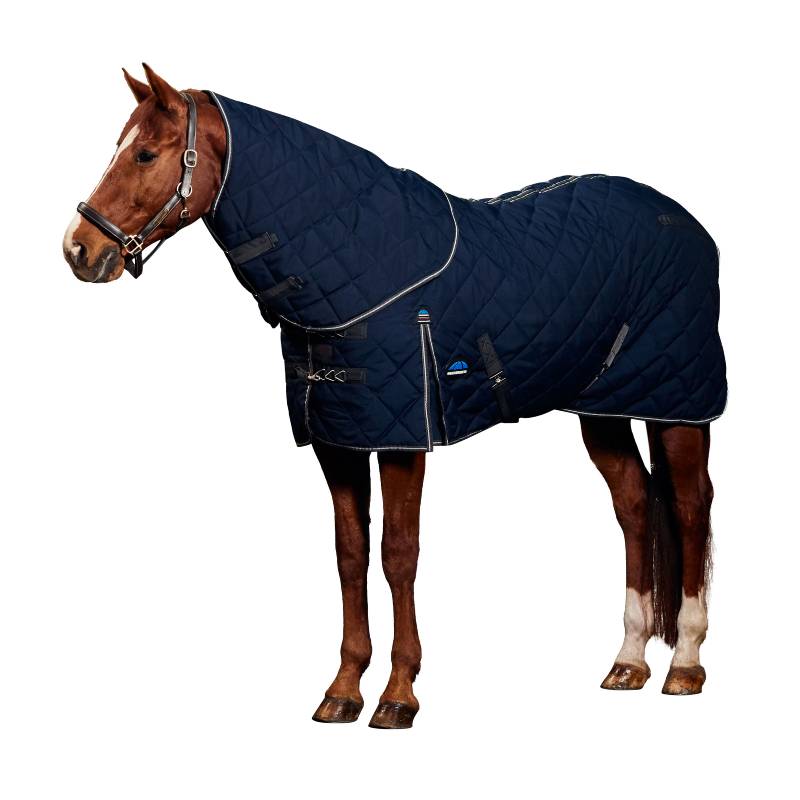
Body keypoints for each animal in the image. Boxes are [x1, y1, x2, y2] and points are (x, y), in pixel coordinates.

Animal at [63, 65, 722, 728]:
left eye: (146, 153)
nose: (78, 250)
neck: (364, 267)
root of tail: (687, 222)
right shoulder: (339, 439)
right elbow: (350, 555)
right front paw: (343, 689)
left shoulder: (403, 438)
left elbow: (398, 554)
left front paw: (399, 694)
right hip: (605, 409)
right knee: (634, 505)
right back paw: (629, 661)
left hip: (680, 405)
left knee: (691, 508)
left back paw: (685, 665)